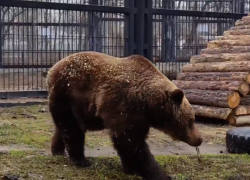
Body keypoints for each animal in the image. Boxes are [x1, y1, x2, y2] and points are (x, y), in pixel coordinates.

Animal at [46, 50, 203, 180]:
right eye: (191, 120)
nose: (199, 139)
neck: (147, 103)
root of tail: (52, 69)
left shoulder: (140, 118)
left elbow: (130, 143)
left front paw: (130, 168)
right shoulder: (123, 106)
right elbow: (131, 142)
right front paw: (159, 174)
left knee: (65, 126)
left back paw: (58, 150)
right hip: (66, 93)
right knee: (71, 127)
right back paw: (80, 159)